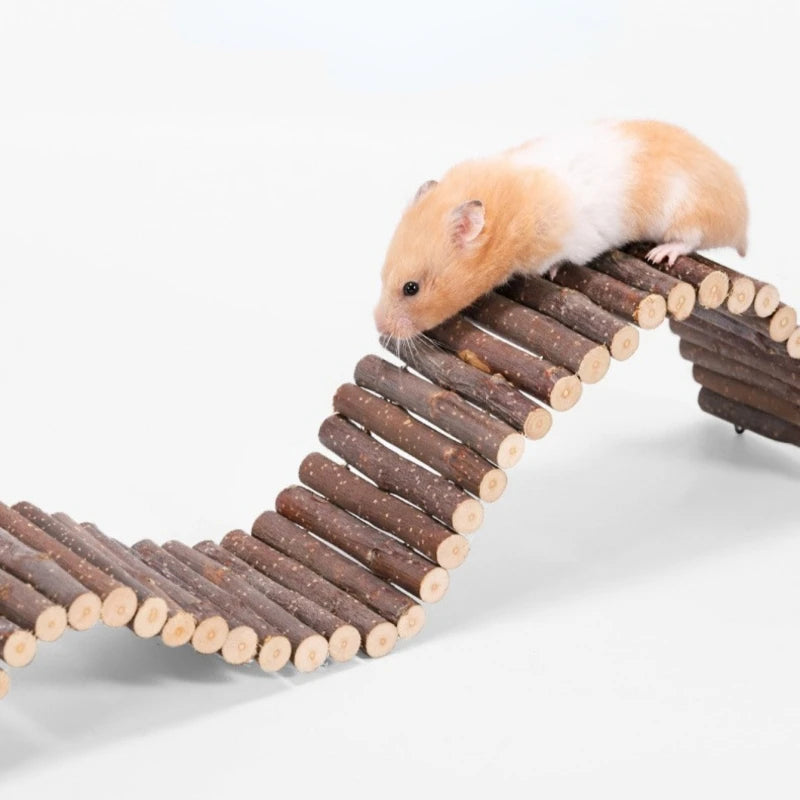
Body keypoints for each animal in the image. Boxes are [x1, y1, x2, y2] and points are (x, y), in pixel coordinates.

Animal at [374, 120, 748, 340]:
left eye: (411, 288)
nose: (378, 325)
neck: (507, 215)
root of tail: (742, 217)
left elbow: (559, 261)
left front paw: (552, 272)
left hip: (687, 210)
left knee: (689, 239)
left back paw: (661, 253)